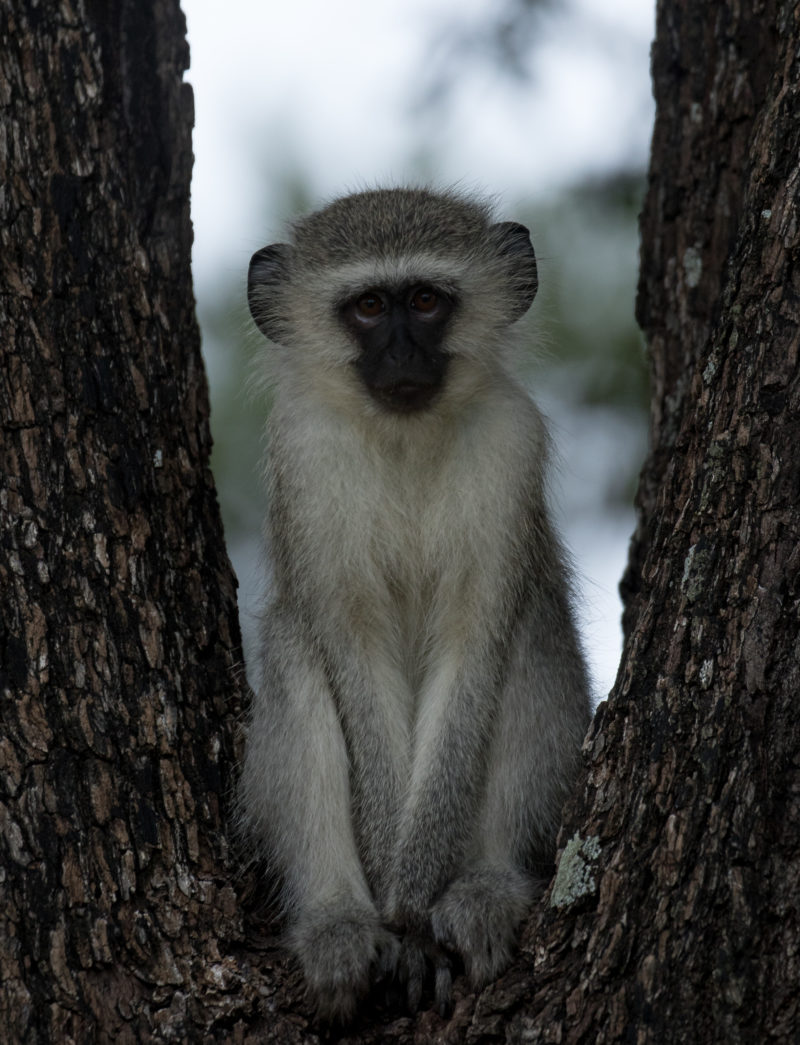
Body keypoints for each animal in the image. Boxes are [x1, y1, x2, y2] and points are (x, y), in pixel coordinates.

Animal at [238, 187, 593, 1022]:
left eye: (426, 301)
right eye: (369, 306)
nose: (402, 355)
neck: (404, 437)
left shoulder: (509, 444)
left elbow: (479, 643)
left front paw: (417, 892)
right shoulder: (305, 454)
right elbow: (347, 646)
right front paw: (388, 908)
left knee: (531, 629)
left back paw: (484, 885)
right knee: (297, 649)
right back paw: (337, 918)